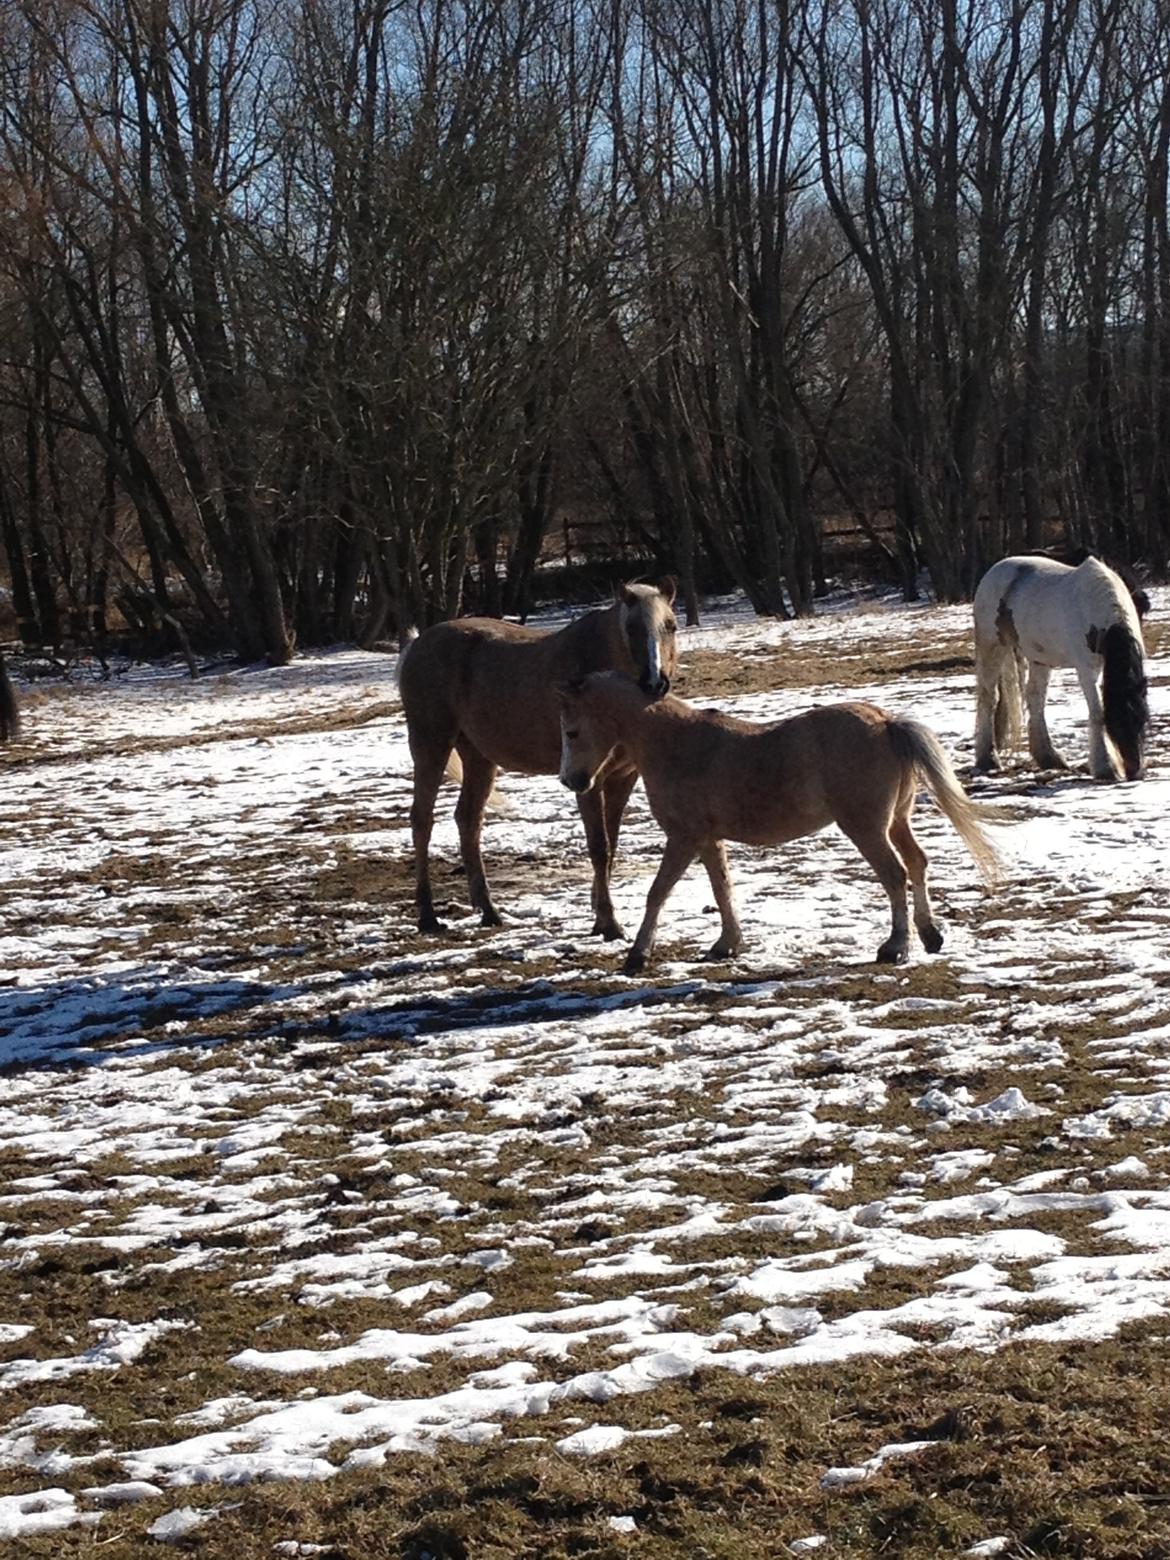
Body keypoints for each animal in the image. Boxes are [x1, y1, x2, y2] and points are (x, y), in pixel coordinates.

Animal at [402, 580, 683, 929]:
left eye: (670, 626)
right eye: (631, 628)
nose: (655, 683)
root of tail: (415, 645)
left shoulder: (623, 776)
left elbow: (612, 842)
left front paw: (598, 909)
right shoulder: (588, 779)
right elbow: (599, 846)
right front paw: (607, 923)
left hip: (479, 757)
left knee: (467, 819)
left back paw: (489, 911)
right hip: (431, 744)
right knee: (422, 821)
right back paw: (428, 915)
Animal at [561, 670, 998, 973]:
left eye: (573, 731)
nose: (572, 781)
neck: (674, 744)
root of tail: (886, 723)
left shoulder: (684, 838)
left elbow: (657, 893)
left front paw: (637, 955)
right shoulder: (709, 840)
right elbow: (723, 890)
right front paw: (726, 945)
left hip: (866, 828)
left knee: (895, 875)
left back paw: (895, 947)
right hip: (895, 822)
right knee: (917, 864)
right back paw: (931, 936)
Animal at [973, 558, 1154, 780]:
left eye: (1143, 720)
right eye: (1117, 721)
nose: (1135, 771)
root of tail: (993, 571)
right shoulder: (1086, 670)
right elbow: (1097, 713)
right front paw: (1106, 768)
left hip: (1039, 659)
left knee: (1035, 698)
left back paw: (1048, 758)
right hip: (992, 646)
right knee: (988, 698)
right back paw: (988, 759)